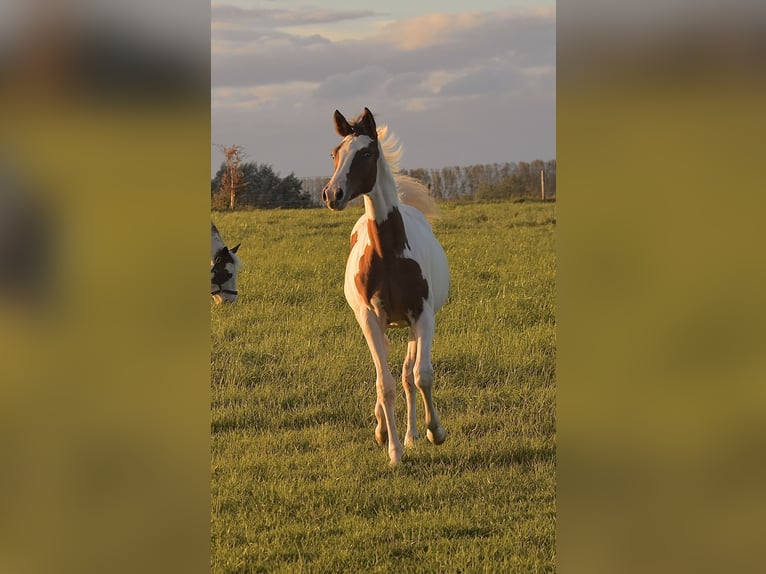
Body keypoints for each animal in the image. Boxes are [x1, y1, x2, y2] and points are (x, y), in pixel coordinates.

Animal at [322, 108, 450, 468]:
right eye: (335, 153)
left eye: (366, 153)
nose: (332, 194)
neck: (389, 254)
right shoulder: (369, 319)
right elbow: (385, 385)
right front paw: (393, 450)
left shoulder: (423, 316)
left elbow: (421, 375)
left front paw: (435, 432)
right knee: (388, 375)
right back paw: (384, 430)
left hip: (409, 327)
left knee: (408, 374)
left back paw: (412, 434)